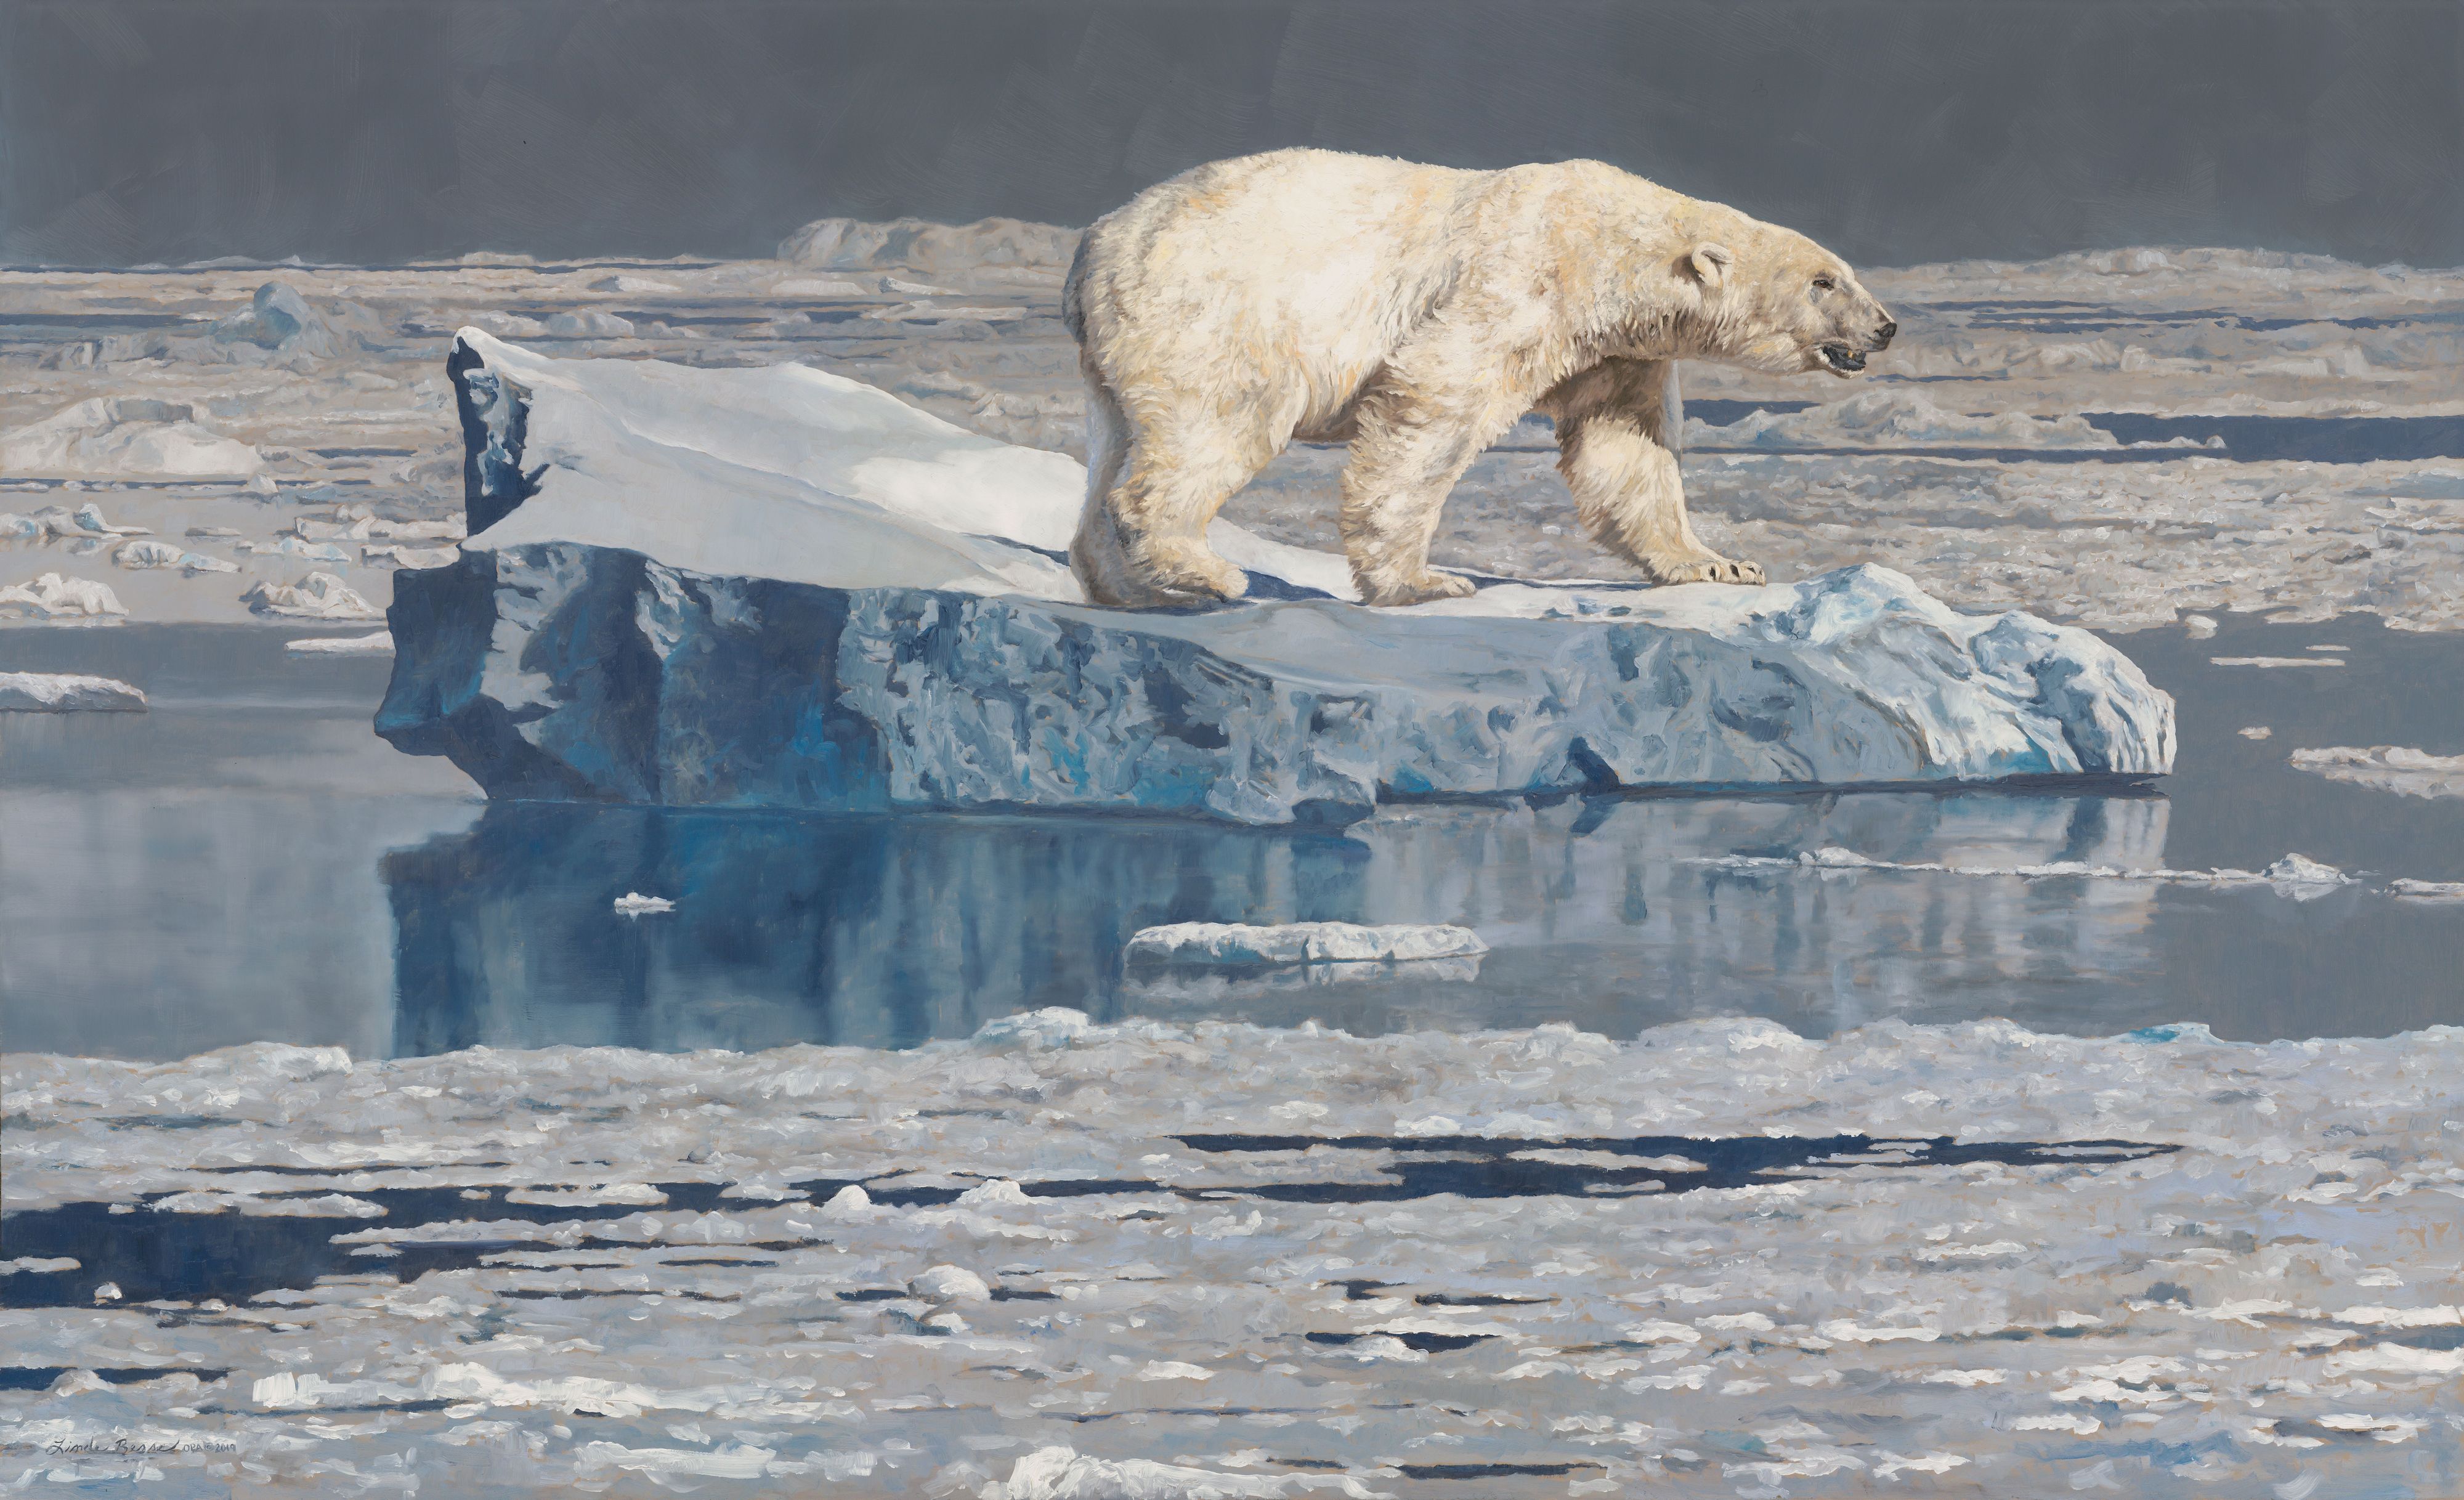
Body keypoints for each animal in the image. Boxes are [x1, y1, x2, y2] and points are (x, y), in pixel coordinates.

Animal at [1061, 148, 1896, 608]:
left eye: (1848, 272)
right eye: (1824, 282)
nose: (1886, 326)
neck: (1612, 251)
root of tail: (1096, 241)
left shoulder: (1616, 352)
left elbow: (1625, 449)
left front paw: (1719, 561)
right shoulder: (1520, 280)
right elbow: (1432, 401)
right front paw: (1425, 582)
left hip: (1114, 351)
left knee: (1115, 448)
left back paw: (1129, 587)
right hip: (1213, 310)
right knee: (1222, 421)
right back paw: (1206, 571)